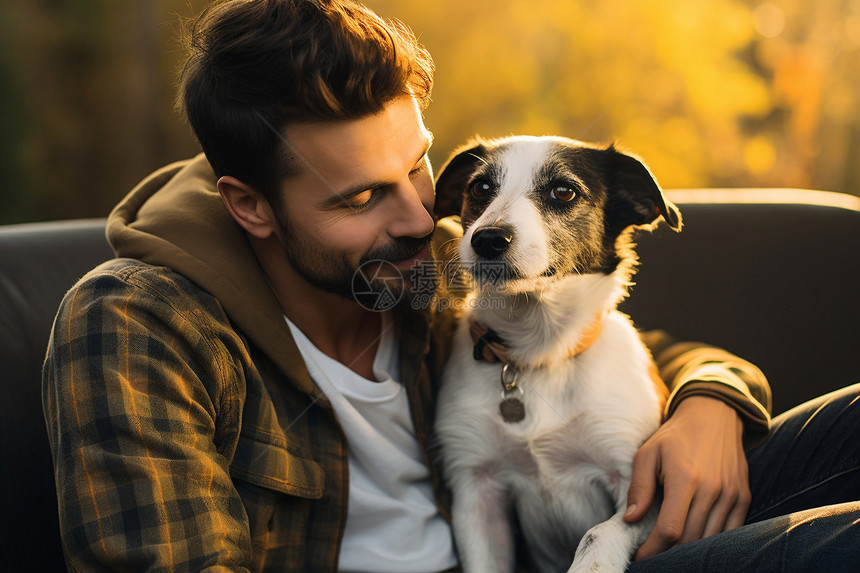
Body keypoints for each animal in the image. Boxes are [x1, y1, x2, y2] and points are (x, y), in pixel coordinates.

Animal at [434, 135, 680, 572]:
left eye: (564, 191)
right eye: (479, 187)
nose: (488, 239)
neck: (540, 353)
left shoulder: (642, 489)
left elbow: (598, 532)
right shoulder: (477, 491)